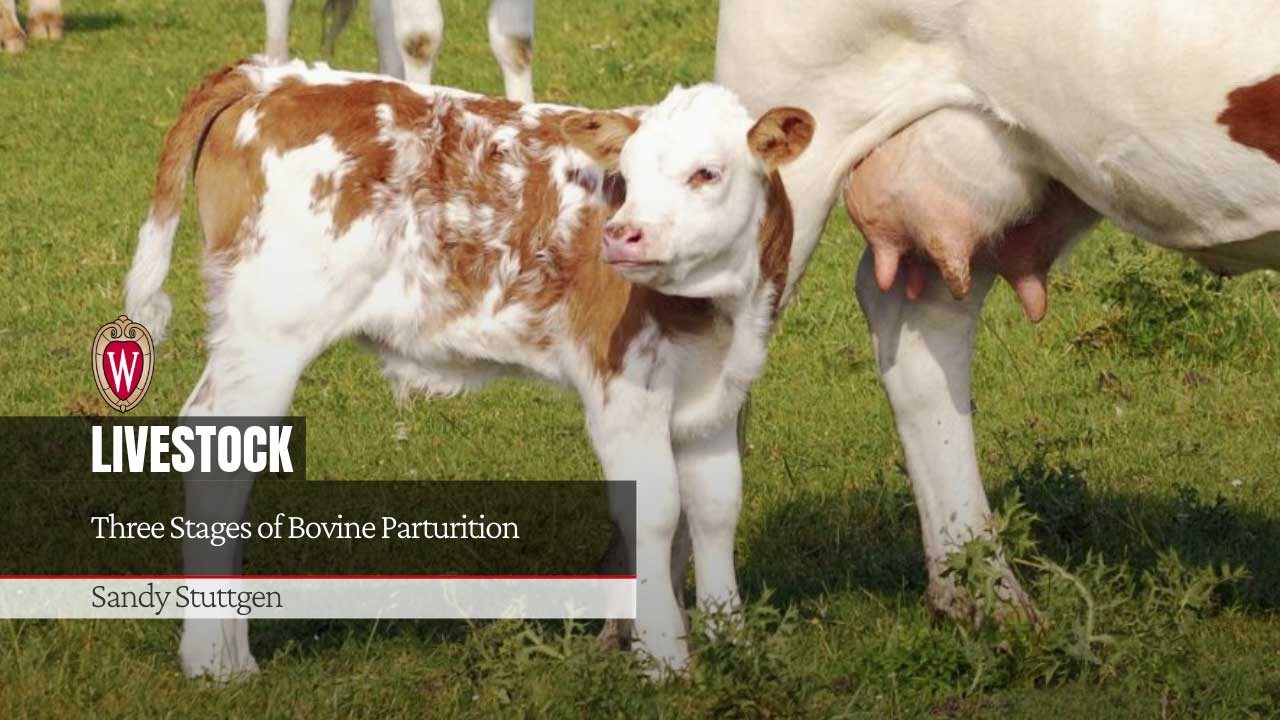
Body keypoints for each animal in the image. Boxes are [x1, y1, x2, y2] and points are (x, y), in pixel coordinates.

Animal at [123, 57, 815, 678]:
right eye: (628, 174)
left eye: (707, 173)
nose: (623, 235)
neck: (718, 310)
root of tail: (275, 76)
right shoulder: (624, 387)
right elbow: (657, 511)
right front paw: (666, 659)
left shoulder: (715, 395)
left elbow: (717, 507)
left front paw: (731, 639)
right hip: (269, 331)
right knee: (217, 456)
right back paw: (216, 661)